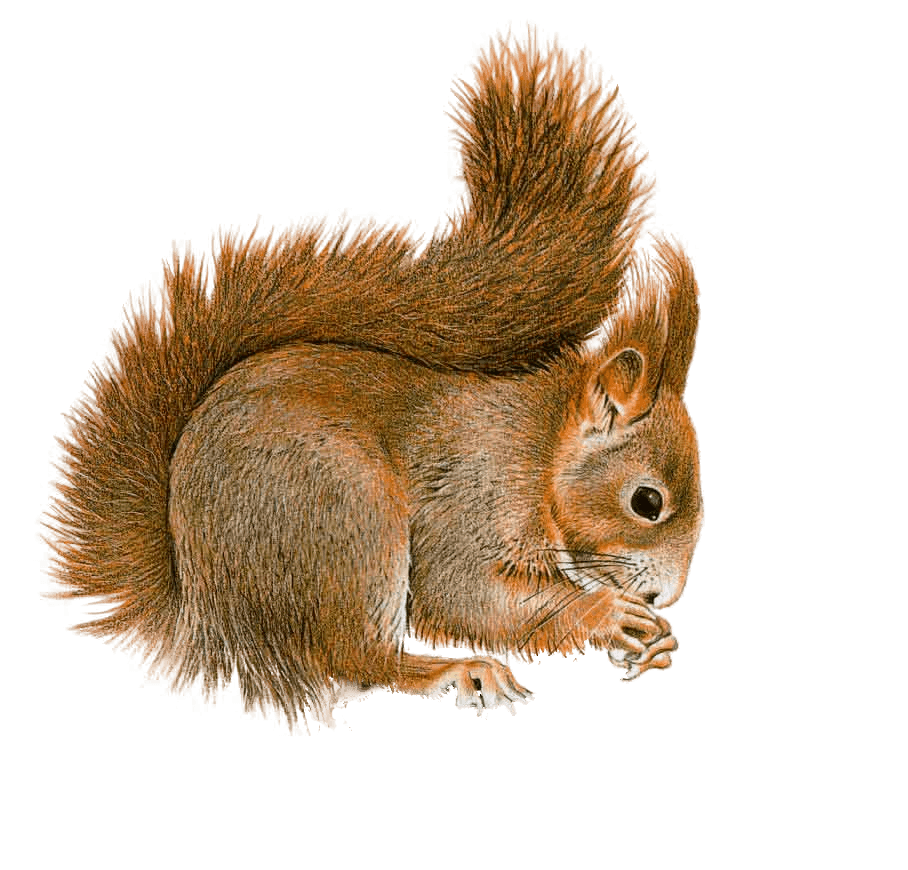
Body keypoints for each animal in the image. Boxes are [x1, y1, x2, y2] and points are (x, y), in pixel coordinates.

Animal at [37, 20, 704, 733]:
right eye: (646, 502)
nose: (668, 595)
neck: (541, 449)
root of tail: (209, 628)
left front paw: (659, 644)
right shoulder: (473, 493)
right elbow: (461, 592)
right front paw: (606, 614)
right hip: (347, 519)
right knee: (356, 663)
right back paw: (453, 671)